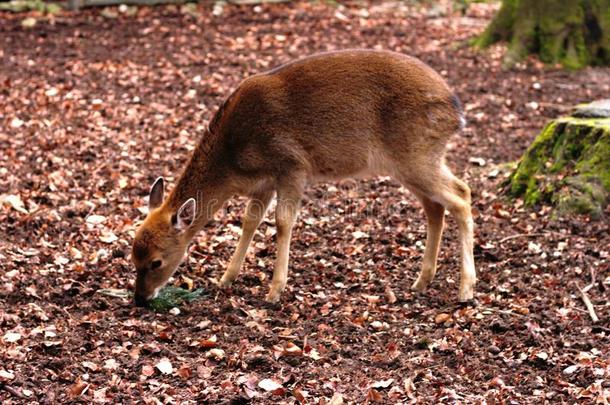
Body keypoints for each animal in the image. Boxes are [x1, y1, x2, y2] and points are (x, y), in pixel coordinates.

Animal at [132, 48, 476, 306]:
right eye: (132, 255)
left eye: (156, 262)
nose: (140, 298)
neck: (233, 162)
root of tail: (456, 111)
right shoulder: (263, 183)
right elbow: (249, 222)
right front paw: (226, 278)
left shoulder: (292, 166)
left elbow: (283, 222)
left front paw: (274, 291)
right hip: (412, 162)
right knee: (436, 206)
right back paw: (421, 281)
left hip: (416, 155)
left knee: (462, 195)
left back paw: (466, 290)